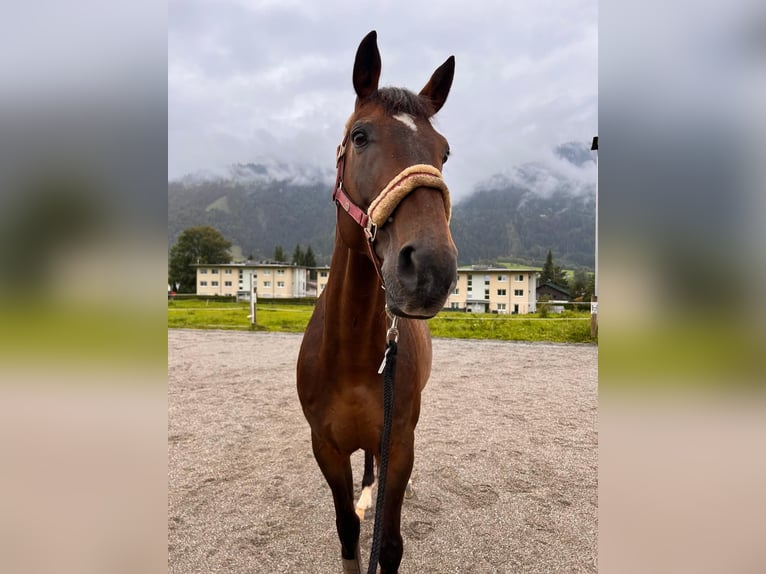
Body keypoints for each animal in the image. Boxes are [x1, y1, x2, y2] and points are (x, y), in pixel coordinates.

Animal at [297, 30, 457, 574]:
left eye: (444, 152)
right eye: (360, 136)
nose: (430, 267)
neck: (349, 355)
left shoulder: (399, 443)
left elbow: (388, 544)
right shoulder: (325, 446)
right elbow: (347, 529)